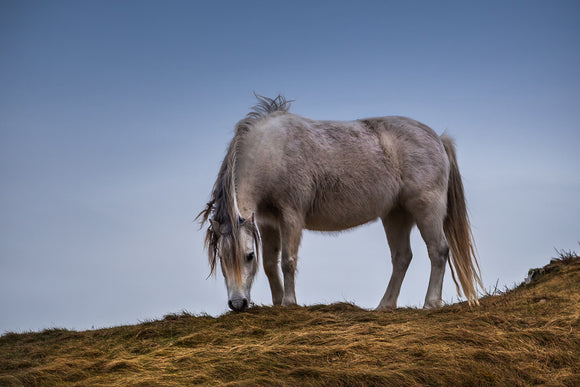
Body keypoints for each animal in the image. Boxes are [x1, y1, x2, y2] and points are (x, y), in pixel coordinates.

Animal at [197, 96, 482, 312]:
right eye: (222, 258)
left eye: (248, 256)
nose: (237, 304)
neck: (272, 151)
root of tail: (438, 139)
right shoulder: (268, 222)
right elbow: (269, 264)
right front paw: (278, 302)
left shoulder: (291, 216)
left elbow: (288, 260)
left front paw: (289, 303)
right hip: (395, 215)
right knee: (402, 257)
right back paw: (385, 305)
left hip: (426, 209)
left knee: (438, 250)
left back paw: (431, 303)